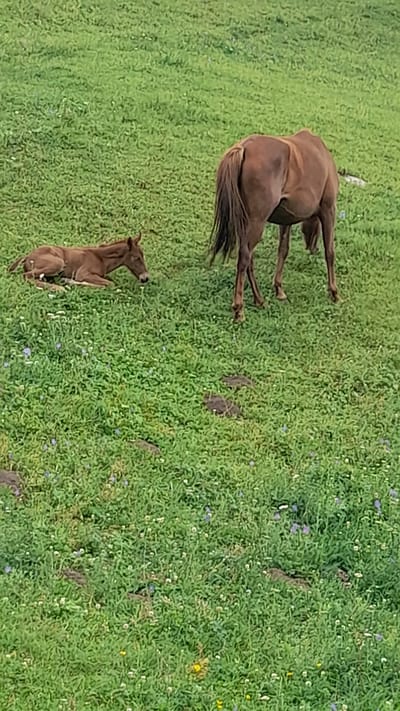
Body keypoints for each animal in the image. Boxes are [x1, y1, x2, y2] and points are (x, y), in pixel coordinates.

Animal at [8, 234, 149, 291]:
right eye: (136, 257)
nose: (146, 278)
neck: (101, 258)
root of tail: (27, 256)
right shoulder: (83, 273)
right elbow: (110, 284)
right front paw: (68, 281)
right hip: (58, 263)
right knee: (26, 276)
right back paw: (58, 288)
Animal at [210, 129, 340, 321]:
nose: (312, 248)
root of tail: (243, 148)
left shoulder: (286, 220)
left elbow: (283, 251)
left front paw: (279, 289)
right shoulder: (328, 210)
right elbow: (330, 252)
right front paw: (334, 292)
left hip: (246, 223)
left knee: (249, 258)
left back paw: (259, 300)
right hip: (257, 222)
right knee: (244, 258)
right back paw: (239, 309)